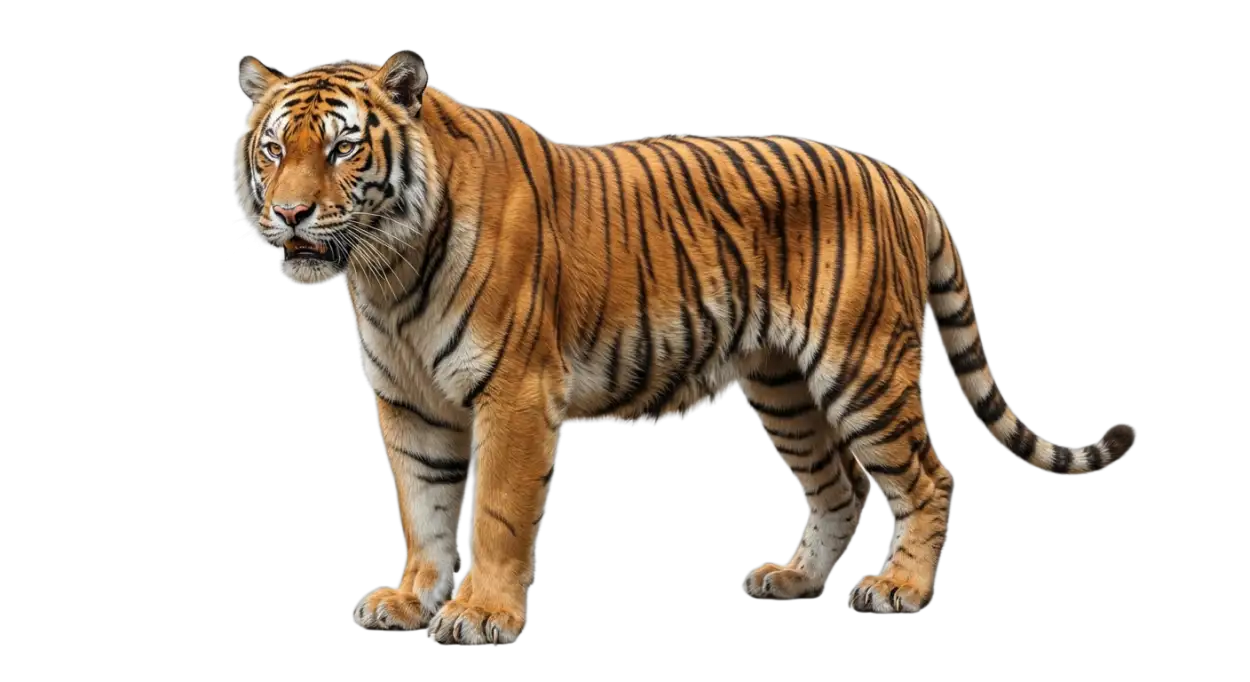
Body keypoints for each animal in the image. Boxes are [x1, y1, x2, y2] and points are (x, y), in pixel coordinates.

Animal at [233, 49, 1138, 645]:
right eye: (274, 149)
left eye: (344, 148)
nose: (290, 214)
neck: (386, 268)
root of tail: (897, 176)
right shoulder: (409, 404)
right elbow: (423, 511)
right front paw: (407, 599)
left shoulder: (515, 394)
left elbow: (493, 515)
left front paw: (480, 613)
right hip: (785, 387)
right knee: (840, 487)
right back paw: (795, 579)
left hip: (861, 371)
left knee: (927, 475)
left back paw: (901, 590)